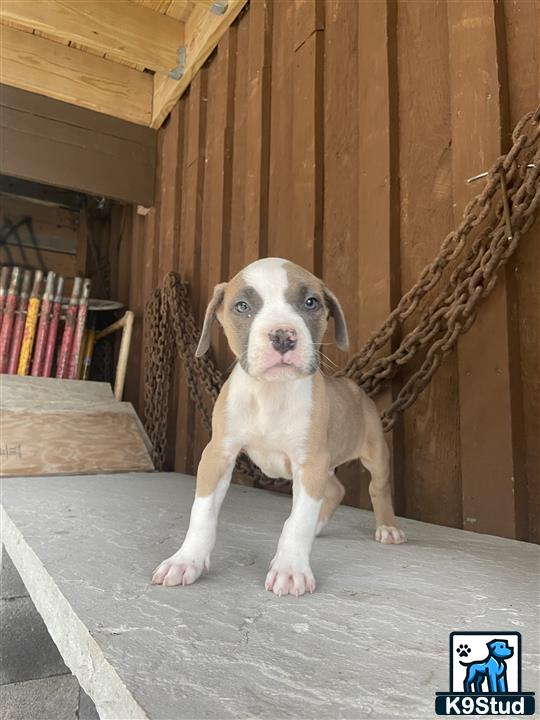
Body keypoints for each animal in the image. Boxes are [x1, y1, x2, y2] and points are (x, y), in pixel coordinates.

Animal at [152, 258, 404, 596]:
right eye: (242, 306)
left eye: (310, 302)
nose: (283, 335)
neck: (270, 392)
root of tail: (353, 387)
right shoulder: (218, 455)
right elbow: (202, 514)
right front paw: (185, 560)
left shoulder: (310, 463)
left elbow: (297, 522)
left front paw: (290, 568)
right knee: (335, 489)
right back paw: (319, 526)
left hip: (374, 453)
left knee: (378, 487)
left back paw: (387, 527)